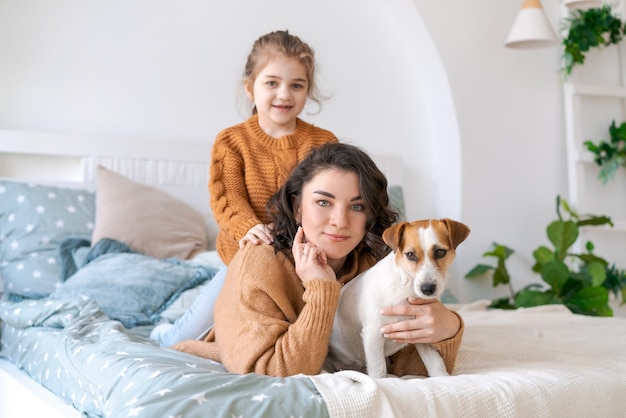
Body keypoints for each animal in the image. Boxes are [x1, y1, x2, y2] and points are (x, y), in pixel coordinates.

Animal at [324, 219, 466, 378]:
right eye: (410, 255)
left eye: (440, 252)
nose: (427, 289)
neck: (407, 289)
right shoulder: (373, 334)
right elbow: (378, 370)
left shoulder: (424, 332)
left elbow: (435, 363)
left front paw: (442, 378)